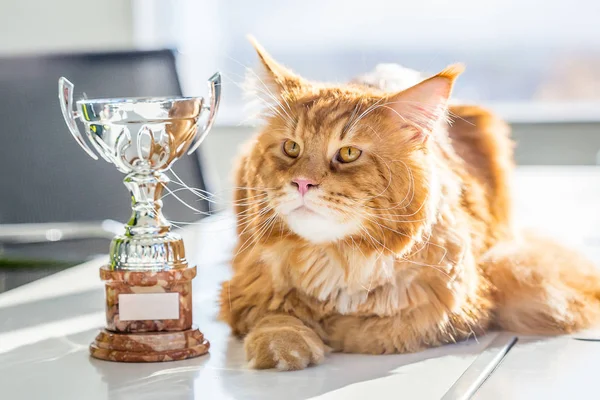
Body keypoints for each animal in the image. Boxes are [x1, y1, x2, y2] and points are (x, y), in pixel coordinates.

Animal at [218, 38, 600, 372]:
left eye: (349, 153)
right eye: (291, 148)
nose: (301, 183)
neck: (340, 258)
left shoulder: (457, 309)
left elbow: (376, 331)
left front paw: (333, 331)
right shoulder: (246, 288)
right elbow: (275, 316)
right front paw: (289, 344)